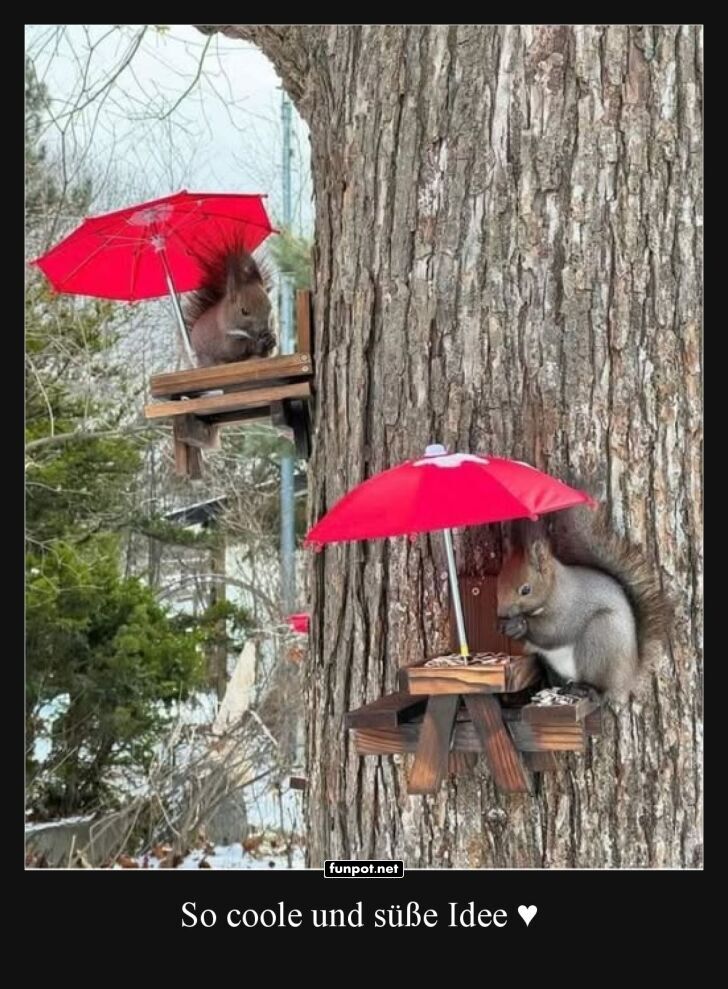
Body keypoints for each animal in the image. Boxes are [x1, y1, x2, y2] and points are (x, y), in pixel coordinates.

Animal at [496, 504, 671, 702]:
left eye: (526, 590)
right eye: (498, 583)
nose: (501, 613)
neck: (555, 589)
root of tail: (629, 678)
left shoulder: (569, 609)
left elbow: (553, 631)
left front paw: (519, 625)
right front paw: (504, 626)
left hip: (600, 637)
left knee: (602, 690)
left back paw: (586, 690)